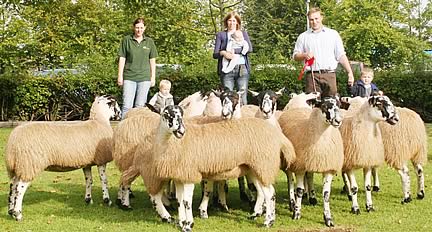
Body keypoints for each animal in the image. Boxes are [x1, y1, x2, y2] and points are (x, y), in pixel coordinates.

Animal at [136, 105, 296, 232]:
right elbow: (180, 200)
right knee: (263, 192)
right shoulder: (180, 176)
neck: (174, 144)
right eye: (167, 115)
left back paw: (268, 222)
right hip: (255, 168)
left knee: (270, 194)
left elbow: (186, 201)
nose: (181, 131)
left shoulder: (190, 174)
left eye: (181, 115)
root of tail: (277, 135)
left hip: (264, 164)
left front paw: (188, 224)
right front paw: (182, 222)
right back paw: (255, 215)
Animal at [280, 96, 344, 227]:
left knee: (309, 176)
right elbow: (299, 190)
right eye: (324, 106)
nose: (338, 121)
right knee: (290, 180)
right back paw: (292, 203)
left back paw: (312, 197)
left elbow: (326, 194)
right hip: (289, 161)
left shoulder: (328, 168)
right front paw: (297, 213)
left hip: (310, 161)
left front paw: (328, 218)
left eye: (339, 105)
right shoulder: (299, 166)